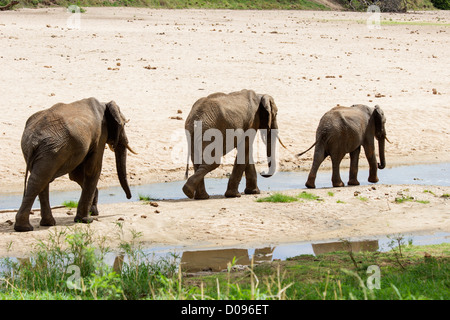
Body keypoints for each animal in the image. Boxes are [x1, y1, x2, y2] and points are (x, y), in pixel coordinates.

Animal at [14, 97, 136, 232]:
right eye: (124, 124)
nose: (129, 197)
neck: (104, 104)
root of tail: (33, 139)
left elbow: (75, 175)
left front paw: (92, 211)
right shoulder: (100, 135)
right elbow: (93, 169)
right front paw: (86, 220)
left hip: (40, 149)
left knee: (41, 179)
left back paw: (46, 223)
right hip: (52, 150)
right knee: (40, 180)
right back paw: (25, 228)